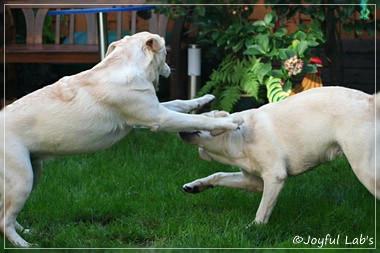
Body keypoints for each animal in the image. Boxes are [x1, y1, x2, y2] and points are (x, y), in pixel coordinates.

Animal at [0, 31, 240, 247]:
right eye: (165, 52)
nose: (170, 68)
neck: (124, 64)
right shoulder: (159, 118)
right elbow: (197, 120)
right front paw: (226, 123)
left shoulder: (153, 110)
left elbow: (181, 102)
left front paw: (204, 99)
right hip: (23, 179)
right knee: (5, 221)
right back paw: (24, 244)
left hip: (33, 173)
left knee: (7, 214)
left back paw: (26, 232)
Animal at [180, 87, 378, 227]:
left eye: (200, 118)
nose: (180, 125)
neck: (238, 136)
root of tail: (371, 100)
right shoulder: (253, 181)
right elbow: (218, 175)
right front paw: (196, 185)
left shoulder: (275, 176)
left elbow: (262, 210)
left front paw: (254, 228)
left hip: (366, 171)